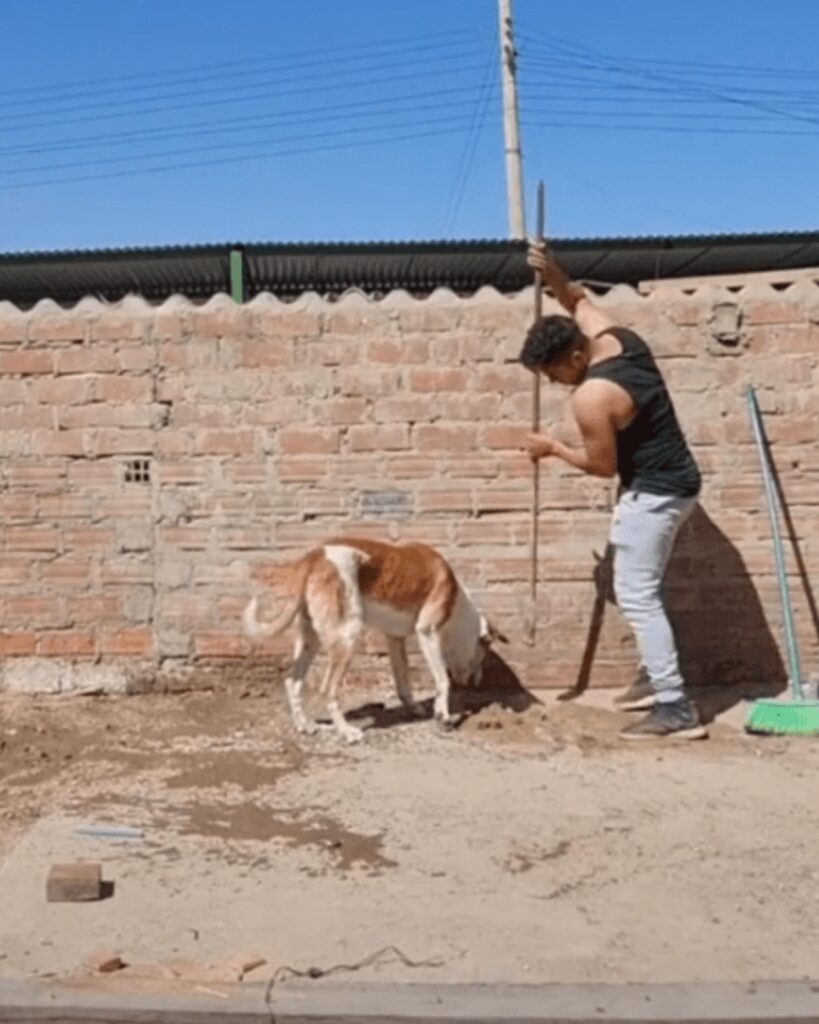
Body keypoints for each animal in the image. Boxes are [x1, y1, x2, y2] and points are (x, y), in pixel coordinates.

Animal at [243, 536, 501, 745]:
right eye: (483, 655)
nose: (477, 683)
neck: (458, 606)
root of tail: (314, 556)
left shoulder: (395, 639)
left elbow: (403, 682)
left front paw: (414, 708)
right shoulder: (427, 633)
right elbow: (443, 681)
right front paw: (444, 716)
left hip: (310, 641)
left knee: (292, 682)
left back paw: (304, 725)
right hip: (348, 638)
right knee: (329, 689)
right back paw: (346, 732)